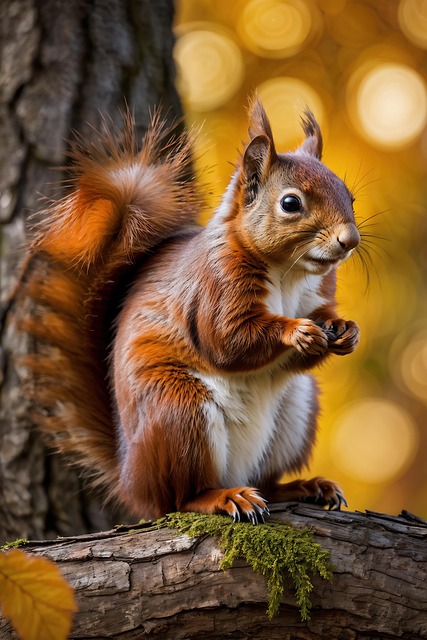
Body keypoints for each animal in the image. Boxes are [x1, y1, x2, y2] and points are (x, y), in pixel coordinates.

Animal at [19, 98, 360, 524]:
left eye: (350, 197)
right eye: (290, 203)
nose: (351, 240)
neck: (289, 272)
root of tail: (131, 479)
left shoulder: (317, 295)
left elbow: (318, 321)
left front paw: (345, 330)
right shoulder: (213, 287)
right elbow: (228, 339)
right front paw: (296, 331)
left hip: (294, 411)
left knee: (265, 482)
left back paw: (304, 487)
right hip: (179, 412)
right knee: (178, 498)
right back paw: (224, 497)